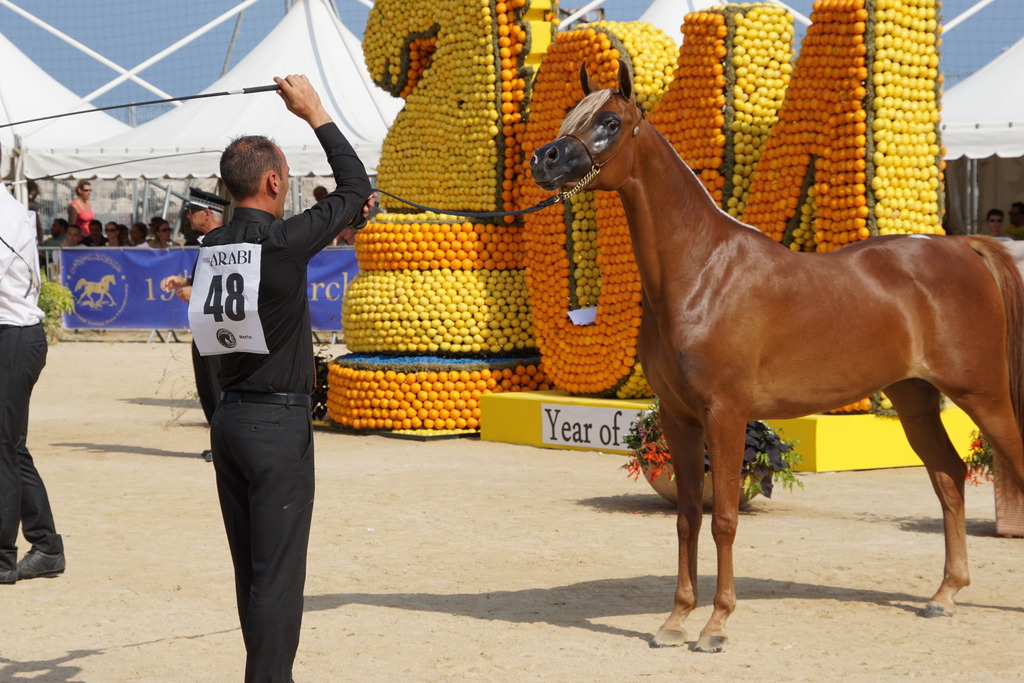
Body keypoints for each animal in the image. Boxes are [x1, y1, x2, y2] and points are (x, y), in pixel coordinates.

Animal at [530, 60, 1024, 653]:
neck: (701, 269)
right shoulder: (677, 417)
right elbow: (687, 517)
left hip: (983, 393)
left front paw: (715, 626)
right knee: (949, 476)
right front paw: (676, 621)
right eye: (570, 115)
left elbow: (723, 519)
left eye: (609, 121)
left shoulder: (726, 414)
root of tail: (963, 245)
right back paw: (944, 596)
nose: (543, 158)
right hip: (916, 399)